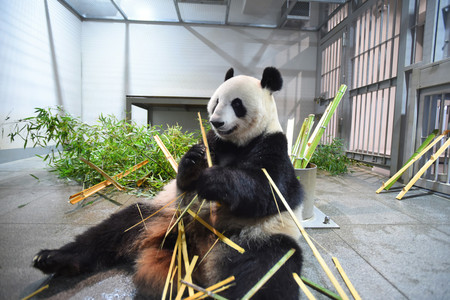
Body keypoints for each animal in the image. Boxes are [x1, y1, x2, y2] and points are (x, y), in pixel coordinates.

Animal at [33, 67, 304, 298]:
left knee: (267, 273)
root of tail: (194, 249)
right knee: (112, 230)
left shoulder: (272, 145)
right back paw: (52, 259)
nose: (216, 121)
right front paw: (193, 160)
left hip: (254, 238)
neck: (236, 144)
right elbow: (183, 179)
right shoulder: (213, 142)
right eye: (216, 101)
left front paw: (214, 181)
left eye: (237, 104)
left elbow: (271, 190)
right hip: (161, 214)